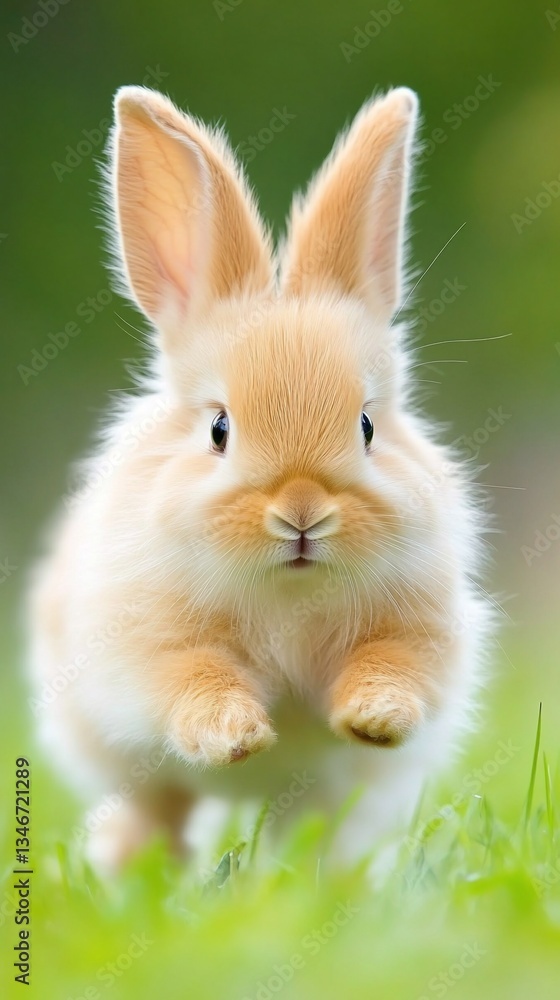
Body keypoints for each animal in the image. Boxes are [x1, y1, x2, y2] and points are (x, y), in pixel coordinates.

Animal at [28, 84, 492, 874]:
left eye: (367, 427)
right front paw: (239, 734)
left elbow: (394, 666)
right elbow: (191, 678)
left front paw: (372, 716)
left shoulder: (422, 632)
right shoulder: (143, 649)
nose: (302, 512)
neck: (289, 593)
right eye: (220, 429)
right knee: (158, 812)